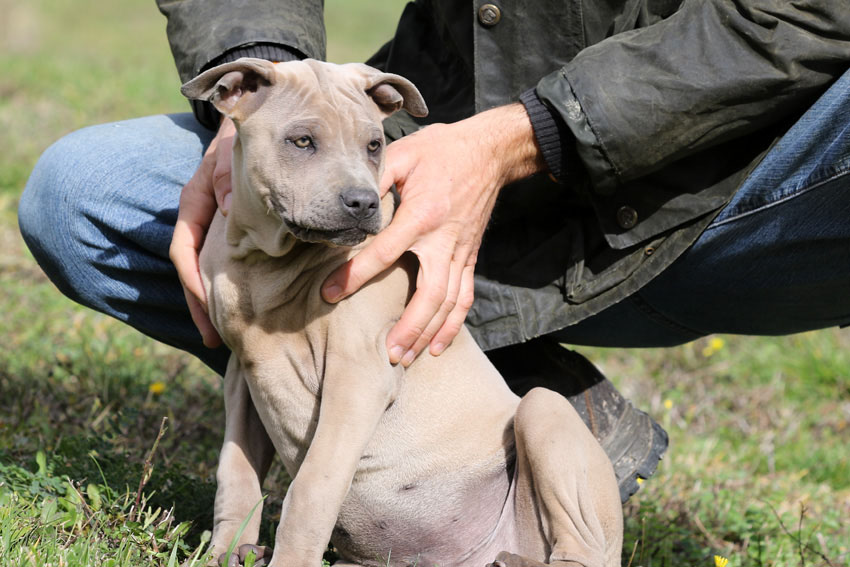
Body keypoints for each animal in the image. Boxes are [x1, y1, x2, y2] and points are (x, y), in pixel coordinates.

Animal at [182, 57, 620, 567]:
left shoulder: (359, 376)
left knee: (583, 550)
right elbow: (235, 470)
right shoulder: (244, 373)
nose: (363, 202)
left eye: (374, 145)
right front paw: (227, 550)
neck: (267, 264)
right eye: (302, 141)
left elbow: (312, 487)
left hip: (543, 409)